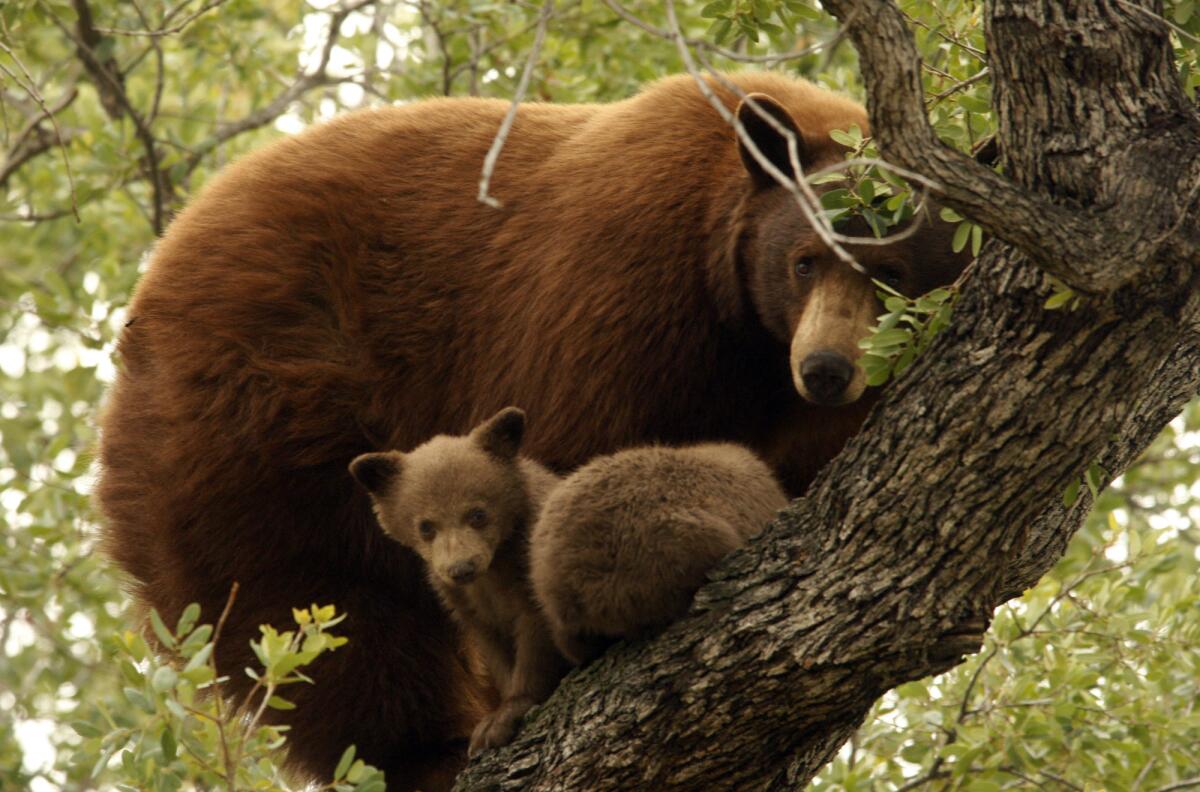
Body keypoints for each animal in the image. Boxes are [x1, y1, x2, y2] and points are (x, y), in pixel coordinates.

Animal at [350, 408, 568, 753]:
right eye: (426, 526)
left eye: (478, 513)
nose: (461, 568)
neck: (495, 571)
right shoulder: (464, 603)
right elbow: (493, 646)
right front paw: (492, 721)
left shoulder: (531, 569)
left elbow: (537, 633)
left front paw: (503, 718)